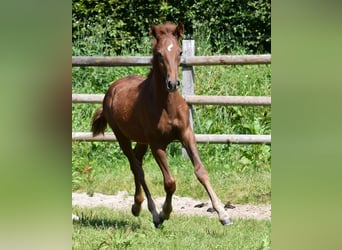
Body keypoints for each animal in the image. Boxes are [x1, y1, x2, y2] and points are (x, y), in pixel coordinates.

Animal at [91, 22, 232, 228]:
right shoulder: (157, 145)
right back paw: (153, 213)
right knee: (137, 168)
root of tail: (112, 89)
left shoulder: (186, 134)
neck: (166, 106)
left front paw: (223, 214)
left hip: (142, 140)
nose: (172, 83)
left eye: (180, 52)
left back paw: (137, 205)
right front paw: (165, 212)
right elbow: (170, 182)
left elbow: (201, 171)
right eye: (159, 53)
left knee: (137, 162)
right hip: (122, 137)